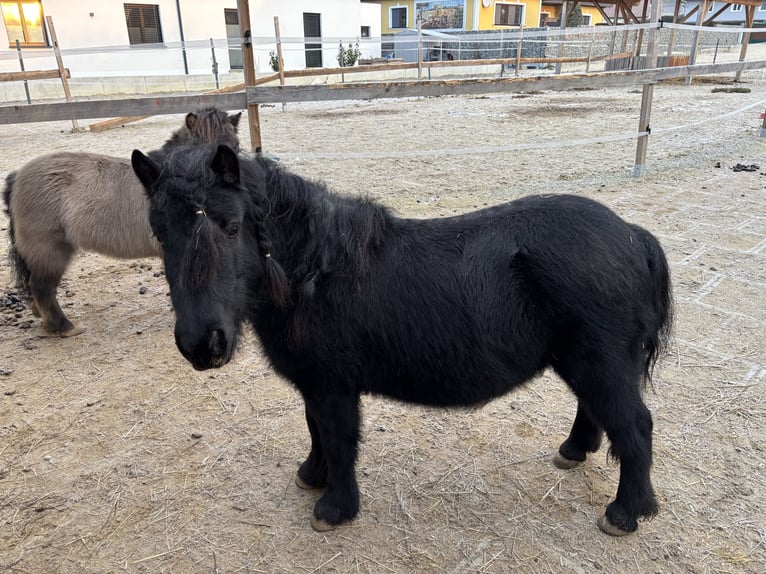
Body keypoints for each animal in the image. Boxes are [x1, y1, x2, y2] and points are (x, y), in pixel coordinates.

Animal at [135, 145, 676, 540]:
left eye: (230, 226)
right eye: (159, 235)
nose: (201, 344)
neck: (318, 270)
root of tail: (632, 235)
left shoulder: (334, 387)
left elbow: (338, 438)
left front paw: (334, 507)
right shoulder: (315, 384)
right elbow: (315, 431)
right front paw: (312, 475)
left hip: (601, 363)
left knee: (635, 426)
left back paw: (625, 513)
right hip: (586, 363)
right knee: (596, 410)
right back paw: (574, 450)